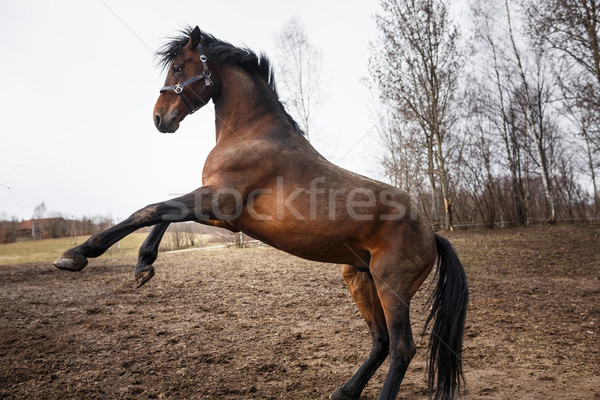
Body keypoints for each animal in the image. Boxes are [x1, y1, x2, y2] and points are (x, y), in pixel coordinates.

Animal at [54, 26, 468, 398]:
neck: (252, 135)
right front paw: (143, 266)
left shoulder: (218, 200)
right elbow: (163, 213)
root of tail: (432, 234)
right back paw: (344, 391)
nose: (160, 119)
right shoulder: (221, 215)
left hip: (390, 286)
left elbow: (149, 210)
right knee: (380, 341)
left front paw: (77, 255)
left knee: (401, 348)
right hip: (358, 278)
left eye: (177, 67)